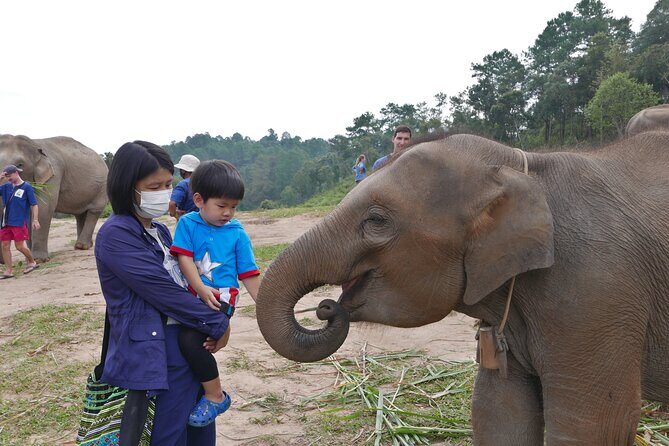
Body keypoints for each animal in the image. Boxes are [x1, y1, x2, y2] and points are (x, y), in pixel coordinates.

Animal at [255, 132, 669, 445]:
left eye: (376, 220)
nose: (327, 307)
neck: (523, 168)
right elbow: (498, 410)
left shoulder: (597, 289)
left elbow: (594, 423)